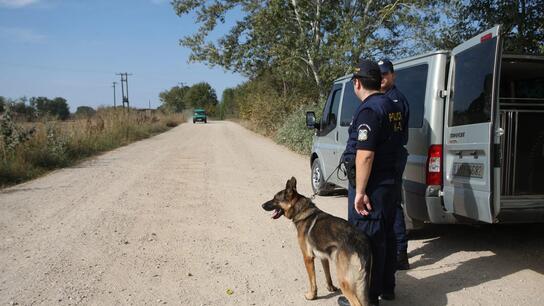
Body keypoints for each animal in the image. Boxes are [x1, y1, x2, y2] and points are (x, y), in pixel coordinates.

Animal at [262, 177, 372, 306]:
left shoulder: (307, 258)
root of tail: (360, 242)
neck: (301, 210)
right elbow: (327, 273)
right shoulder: (323, 257)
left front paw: (311, 296)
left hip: (344, 281)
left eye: (275, 199)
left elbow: (312, 281)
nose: (262, 205)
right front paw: (330, 287)